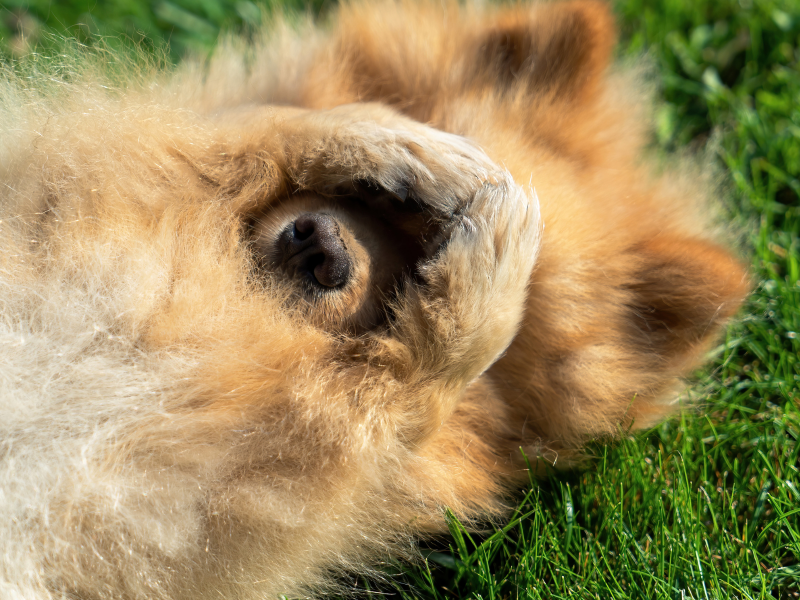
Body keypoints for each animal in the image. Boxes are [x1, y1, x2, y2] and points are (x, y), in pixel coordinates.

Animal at [0, 1, 752, 600]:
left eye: (410, 273)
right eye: (385, 209)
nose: (324, 250)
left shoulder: (191, 496)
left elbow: (408, 391)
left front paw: (493, 256)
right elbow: (235, 130)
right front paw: (396, 140)